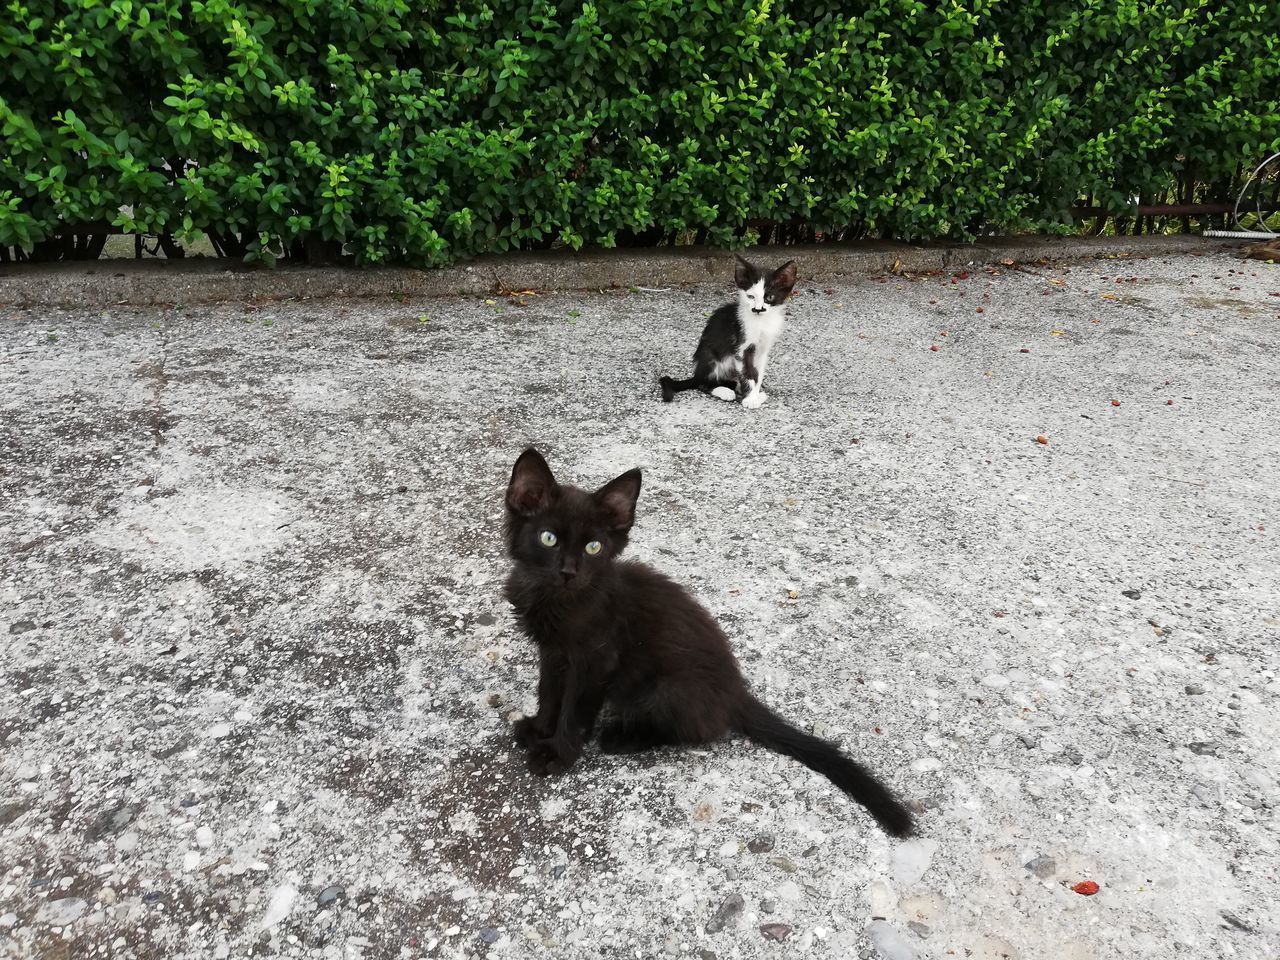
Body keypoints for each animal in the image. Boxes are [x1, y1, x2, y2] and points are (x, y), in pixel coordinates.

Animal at [499, 448, 911, 839]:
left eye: (594, 548)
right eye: (548, 538)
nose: (569, 572)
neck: (558, 601)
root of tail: (736, 691)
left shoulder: (595, 662)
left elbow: (576, 711)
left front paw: (557, 753)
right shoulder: (554, 654)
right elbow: (549, 693)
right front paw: (539, 728)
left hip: (667, 688)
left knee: (693, 730)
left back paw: (622, 737)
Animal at [665, 256, 793, 409]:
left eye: (769, 298)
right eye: (751, 296)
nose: (758, 309)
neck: (761, 322)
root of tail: (697, 374)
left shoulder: (763, 350)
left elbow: (757, 374)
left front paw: (756, 396)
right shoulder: (742, 346)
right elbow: (748, 373)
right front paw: (750, 399)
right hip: (709, 357)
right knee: (703, 383)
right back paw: (724, 391)